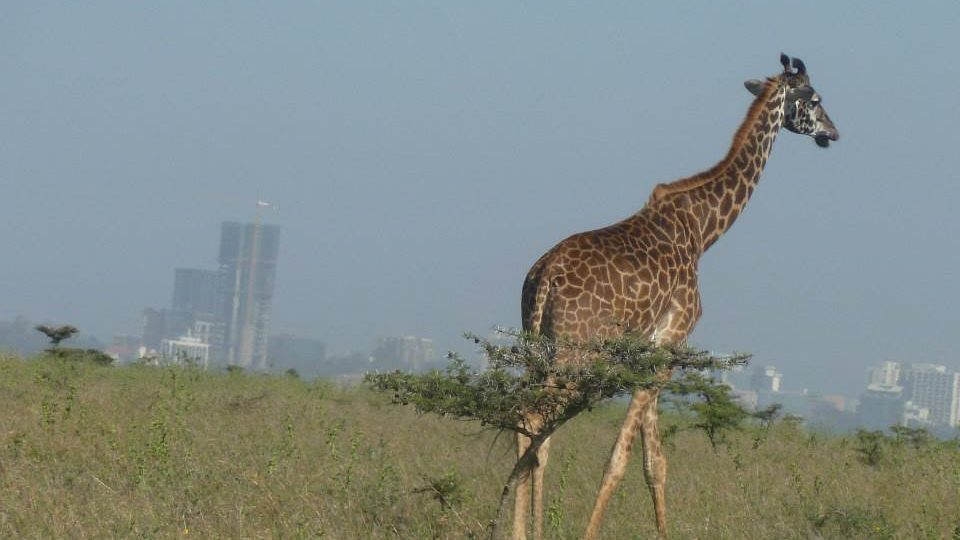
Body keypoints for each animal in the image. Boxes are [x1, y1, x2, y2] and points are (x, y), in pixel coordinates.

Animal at [512, 52, 836, 536]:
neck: (704, 230)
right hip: (576, 352)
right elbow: (621, 458)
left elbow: (656, 463)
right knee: (536, 421)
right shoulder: (670, 343)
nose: (833, 132)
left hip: (538, 346)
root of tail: (544, 275)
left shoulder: (649, 352)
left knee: (525, 421)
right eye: (814, 99)